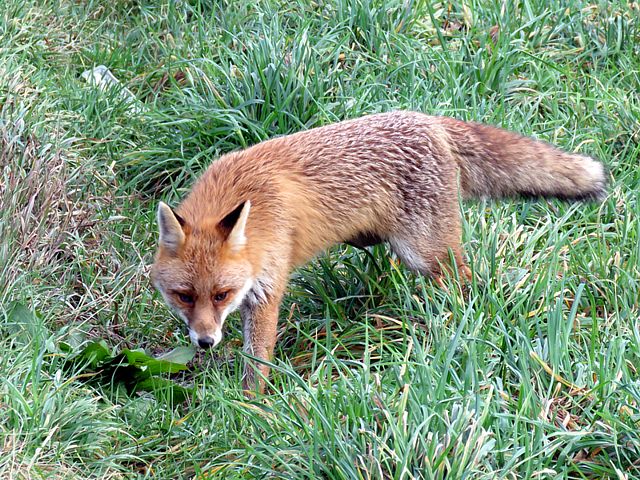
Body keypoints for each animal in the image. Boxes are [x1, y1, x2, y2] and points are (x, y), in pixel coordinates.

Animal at [150, 110, 604, 392]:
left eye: (221, 295)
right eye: (184, 296)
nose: (205, 342)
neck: (247, 200)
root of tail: (430, 121)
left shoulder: (265, 290)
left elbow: (257, 361)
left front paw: (252, 406)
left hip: (426, 252)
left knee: (465, 281)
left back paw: (460, 322)